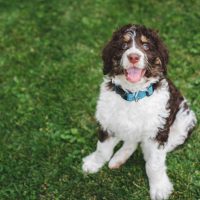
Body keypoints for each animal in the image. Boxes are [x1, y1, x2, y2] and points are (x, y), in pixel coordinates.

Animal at [81, 24, 197, 199]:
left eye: (146, 46)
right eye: (123, 45)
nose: (133, 57)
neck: (133, 94)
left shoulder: (158, 130)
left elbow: (155, 163)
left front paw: (159, 187)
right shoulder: (107, 121)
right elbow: (102, 149)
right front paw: (93, 163)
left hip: (184, 122)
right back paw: (118, 158)